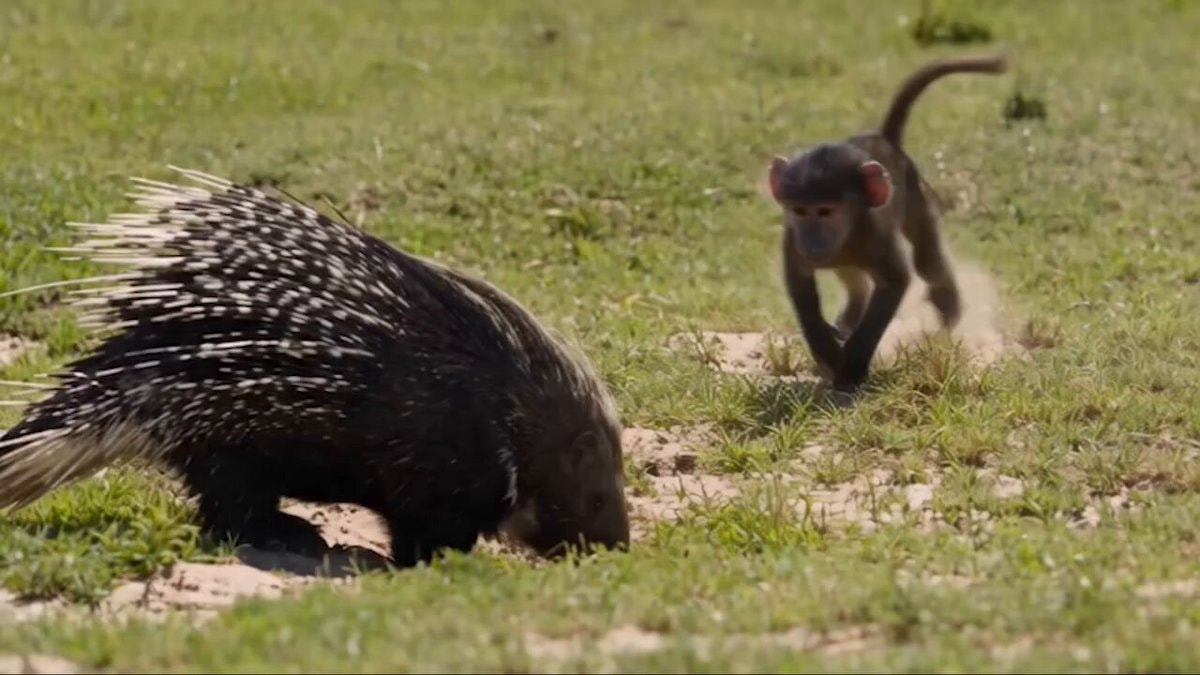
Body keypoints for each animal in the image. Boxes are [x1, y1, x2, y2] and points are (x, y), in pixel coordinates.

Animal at [766, 53, 1011, 393]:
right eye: (800, 211)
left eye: (825, 211)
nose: (811, 241)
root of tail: (884, 140)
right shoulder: (792, 242)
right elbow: (802, 291)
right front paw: (828, 353)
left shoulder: (876, 234)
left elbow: (895, 282)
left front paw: (852, 367)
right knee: (854, 277)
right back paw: (849, 318)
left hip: (916, 197)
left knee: (927, 264)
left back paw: (949, 306)